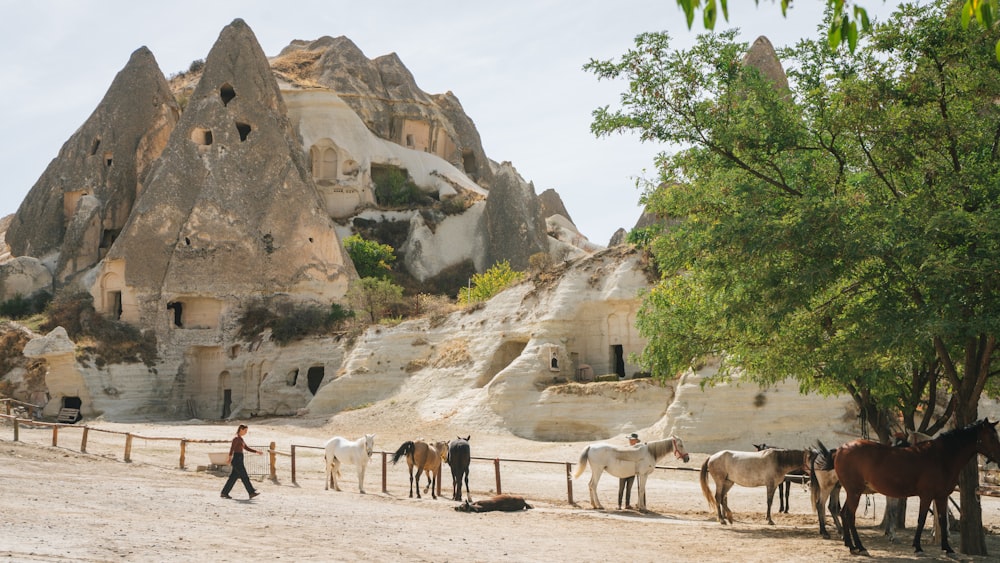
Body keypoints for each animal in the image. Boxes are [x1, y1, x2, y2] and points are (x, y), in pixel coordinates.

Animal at [832, 418, 1000, 556]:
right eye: (992, 437)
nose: (999, 457)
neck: (941, 457)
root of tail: (842, 448)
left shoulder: (941, 496)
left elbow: (942, 520)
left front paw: (948, 549)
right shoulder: (926, 496)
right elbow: (922, 519)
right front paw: (918, 547)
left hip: (852, 492)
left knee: (844, 513)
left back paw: (851, 545)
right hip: (855, 492)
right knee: (849, 515)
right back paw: (860, 547)